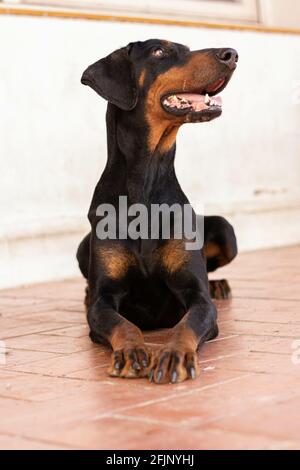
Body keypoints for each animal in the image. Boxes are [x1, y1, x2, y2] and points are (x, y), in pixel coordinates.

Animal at [78, 39, 239, 386]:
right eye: (159, 52)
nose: (232, 54)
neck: (145, 180)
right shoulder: (103, 301)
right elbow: (122, 322)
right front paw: (130, 351)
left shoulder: (197, 297)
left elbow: (187, 322)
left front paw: (176, 354)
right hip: (83, 246)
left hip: (225, 230)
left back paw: (218, 285)